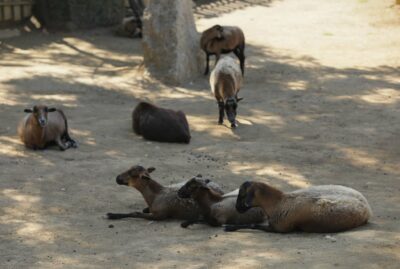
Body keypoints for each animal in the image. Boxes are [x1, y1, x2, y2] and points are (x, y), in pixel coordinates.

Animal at [225, 180, 372, 232]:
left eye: (242, 194)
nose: (237, 208)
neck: (278, 202)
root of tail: (368, 208)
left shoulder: (280, 228)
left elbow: (253, 225)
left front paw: (230, 227)